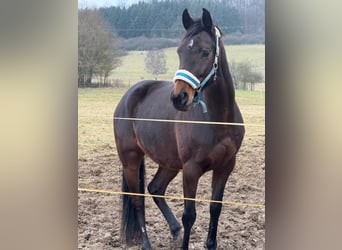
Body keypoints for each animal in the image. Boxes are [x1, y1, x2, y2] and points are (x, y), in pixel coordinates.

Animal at [113, 8, 244, 250]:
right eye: (179, 51)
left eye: (205, 52)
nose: (178, 97)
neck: (218, 119)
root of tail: (128, 95)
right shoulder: (191, 170)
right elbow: (189, 215)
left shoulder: (225, 166)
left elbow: (215, 207)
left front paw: (211, 244)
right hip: (130, 160)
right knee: (137, 200)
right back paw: (146, 243)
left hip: (169, 163)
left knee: (155, 189)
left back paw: (174, 229)